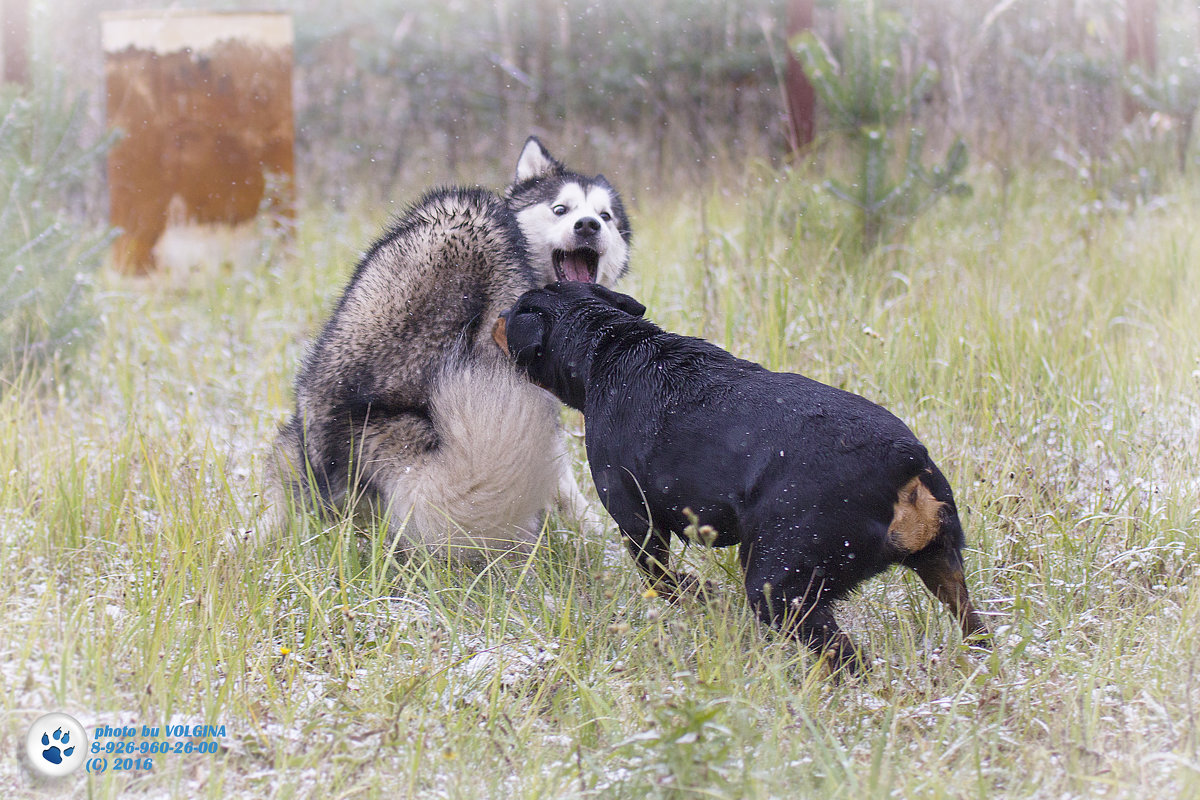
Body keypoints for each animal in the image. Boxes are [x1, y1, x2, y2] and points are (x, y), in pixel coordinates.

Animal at [492, 284, 988, 671]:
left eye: (512, 313)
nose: (494, 316)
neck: (607, 350)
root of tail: (906, 461)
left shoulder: (638, 523)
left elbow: (666, 581)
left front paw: (705, 597)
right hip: (942, 565)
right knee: (973, 625)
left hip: (779, 587)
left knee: (850, 661)